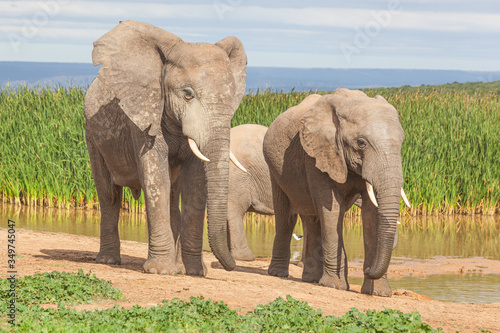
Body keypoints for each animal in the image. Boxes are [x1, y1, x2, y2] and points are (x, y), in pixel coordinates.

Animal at [86, 21, 250, 274]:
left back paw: (179, 267)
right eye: (187, 94)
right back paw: (108, 260)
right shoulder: (144, 115)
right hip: (92, 135)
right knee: (109, 196)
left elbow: (195, 184)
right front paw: (160, 271)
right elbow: (156, 181)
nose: (231, 265)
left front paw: (194, 273)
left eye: (233, 97)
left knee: (174, 198)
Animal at [264, 89, 408, 296]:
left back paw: (311, 279)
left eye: (402, 143)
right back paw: (279, 274)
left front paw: (378, 293)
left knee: (312, 218)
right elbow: (331, 209)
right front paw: (334, 286)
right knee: (286, 217)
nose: (368, 269)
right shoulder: (318, 153)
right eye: (361, 143)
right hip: (274, 168)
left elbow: (371, 213)